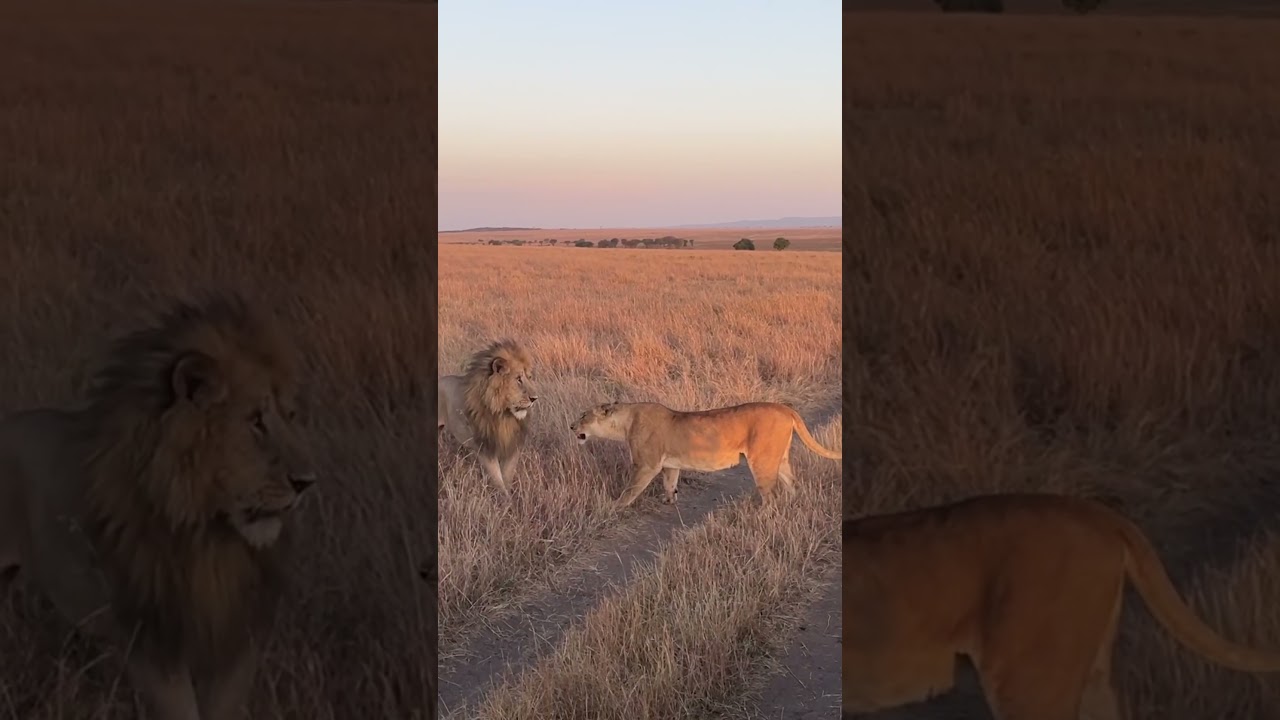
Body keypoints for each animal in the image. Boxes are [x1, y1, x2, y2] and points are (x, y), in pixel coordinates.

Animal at [0, 293, 317, 720]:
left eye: (290, 415)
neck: (208, 536)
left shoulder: (237, 635)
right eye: (255, 421)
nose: (306, 482)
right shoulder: (151, 639)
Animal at [437, 339, 538, 495]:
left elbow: (507, 476)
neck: (504, 415)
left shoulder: (513, 445)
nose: (534, 398)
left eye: (529, 377)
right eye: (518, 379)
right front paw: (504, 499)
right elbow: (497, 480)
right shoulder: (485, 448)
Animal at [569, 401, 841, 508]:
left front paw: (615, 506)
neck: (625, 423)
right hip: (779, 458)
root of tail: (785, 408)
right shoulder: (670, 465)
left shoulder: (646, 465)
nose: (571, 427)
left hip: (762, 460)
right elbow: (670, 483)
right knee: (793, 484)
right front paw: (669, 500)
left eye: (583, 416)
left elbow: (630, 490)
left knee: (770, 496)